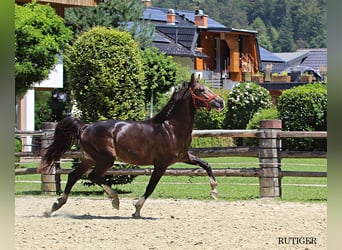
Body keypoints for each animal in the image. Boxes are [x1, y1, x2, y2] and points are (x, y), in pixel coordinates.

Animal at [38, 73, 224, 218]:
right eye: (201, 90)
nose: (221, 102)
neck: (170, 128)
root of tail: (85, 127)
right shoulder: (161, 164)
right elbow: (150, 187)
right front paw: (137, 209)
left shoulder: (183, 157)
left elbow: (206, 164)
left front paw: (214, 191)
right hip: (105, 159)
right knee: (93, 176)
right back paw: (115, 200)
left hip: (89, 159)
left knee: (73, 176)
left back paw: (54, 207)